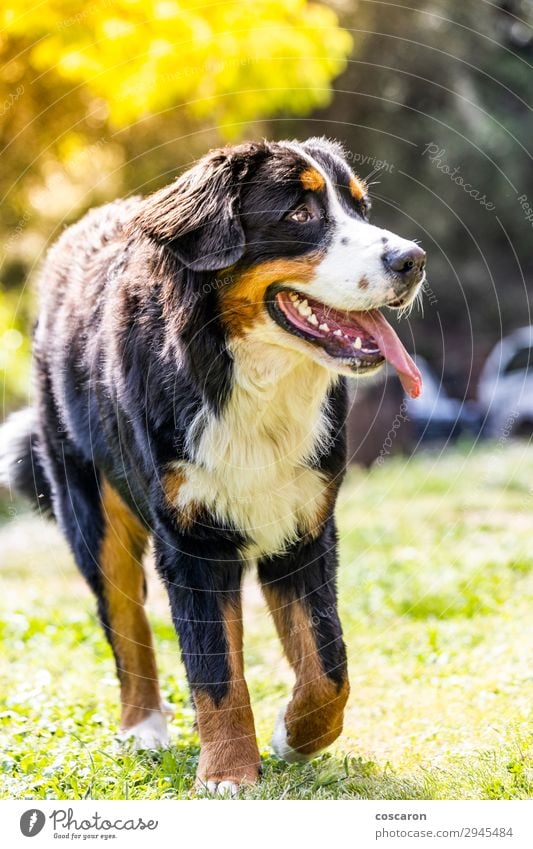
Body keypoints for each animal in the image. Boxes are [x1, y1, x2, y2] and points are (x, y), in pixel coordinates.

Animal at [0, 137, 424, 796]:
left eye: (358, 207)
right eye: (301, 215)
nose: (413, 260)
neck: (250, 381)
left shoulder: (304, 527)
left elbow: (329, 667)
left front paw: (295, 737)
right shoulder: (192, 541)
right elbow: (216, 672)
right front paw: (228, 774)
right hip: (92, 511)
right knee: (125, 623)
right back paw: (143, 728)